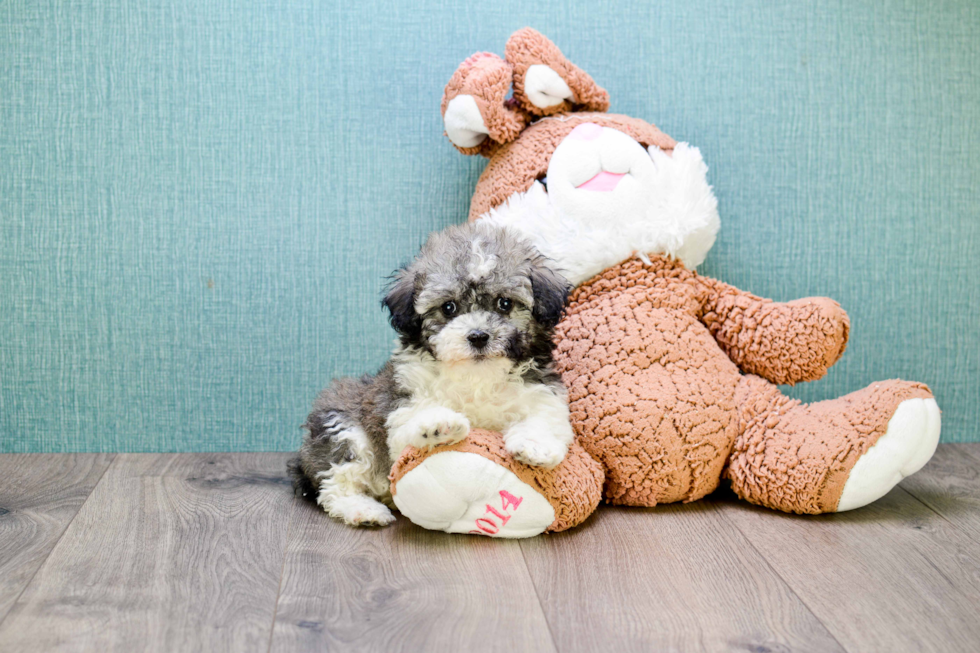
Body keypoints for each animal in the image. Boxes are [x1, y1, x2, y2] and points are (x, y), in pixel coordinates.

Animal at [288, 222, 576, 528]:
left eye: (505, 304)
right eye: (448, 307)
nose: (478, 336)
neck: (477, 376)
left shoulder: (542, 391)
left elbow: (544, 417)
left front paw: (534, 446)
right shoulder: (402, 404)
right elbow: (407, 427)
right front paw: (439, 424)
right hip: (340, 427)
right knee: (336, 484)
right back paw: (363, 510)